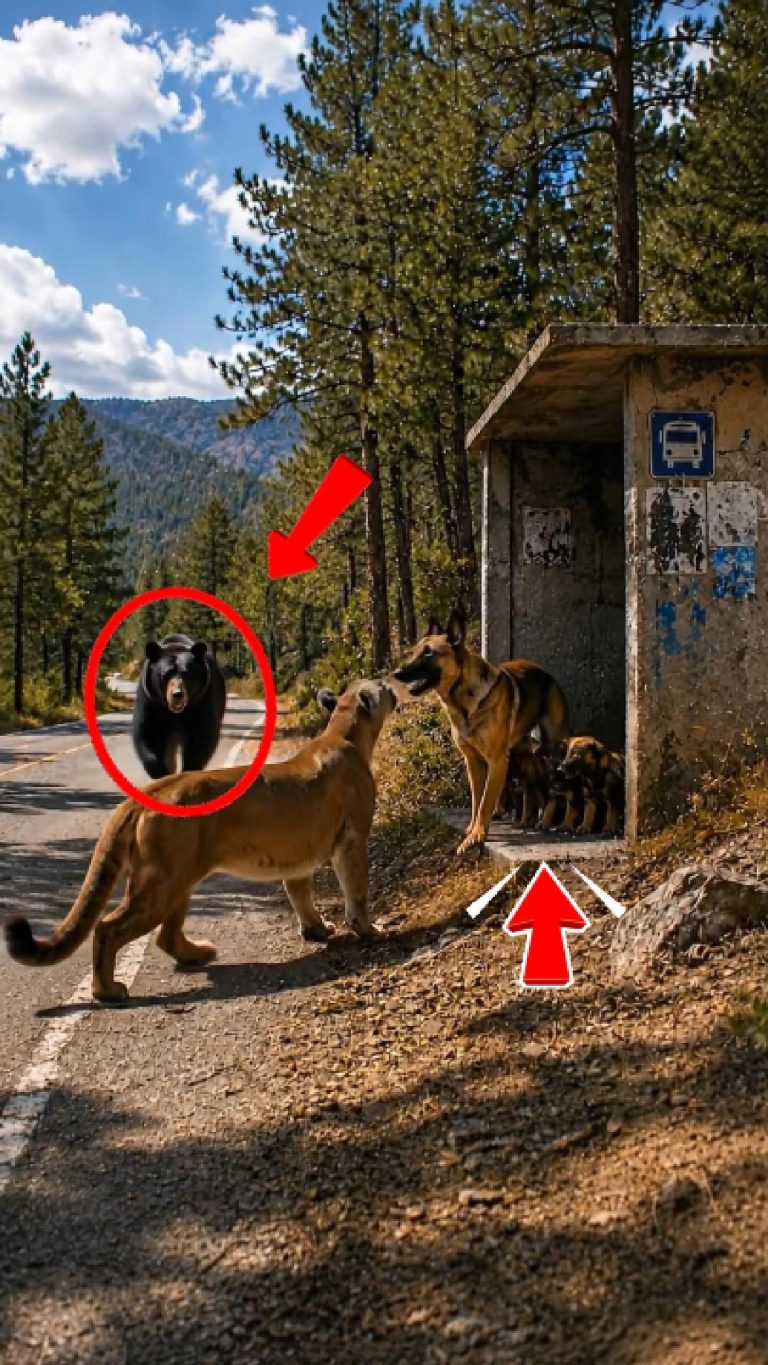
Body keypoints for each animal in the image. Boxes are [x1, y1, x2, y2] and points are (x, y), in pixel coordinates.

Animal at [132, 634, 227, 780]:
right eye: (166, 674)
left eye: (186, 674)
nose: (177, 694)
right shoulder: (150, 700)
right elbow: (148, 732)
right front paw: (159, 771)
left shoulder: (202, 699)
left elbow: (202, 734)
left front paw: (189, 768)